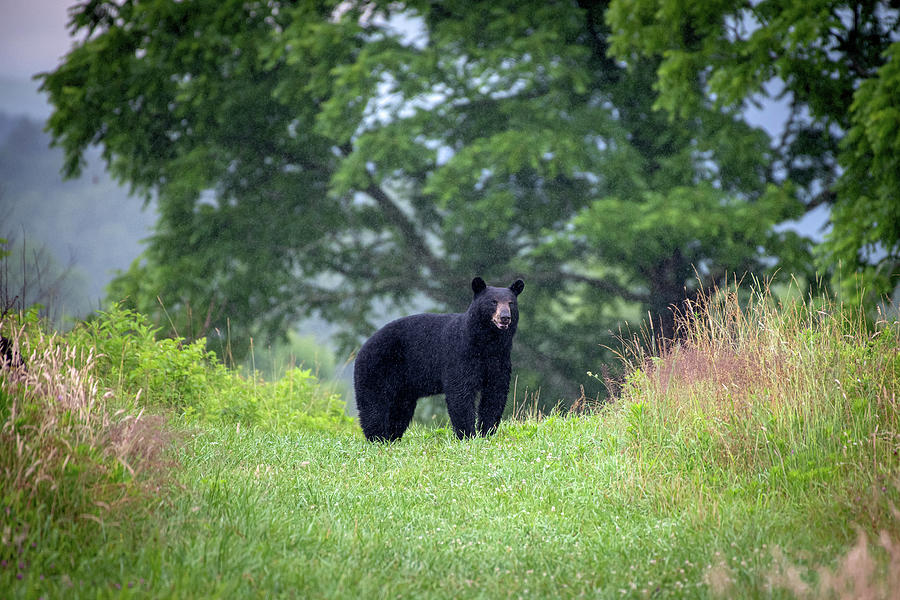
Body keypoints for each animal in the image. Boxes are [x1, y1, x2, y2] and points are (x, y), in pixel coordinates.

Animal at [354, 276, 524, 440]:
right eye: (493, 302)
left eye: (511, 303)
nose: (505, 317)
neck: (486, 343)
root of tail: (362, 347)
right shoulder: (460, 355)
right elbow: (460, 392)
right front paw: (468, 435)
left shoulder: (499, 359)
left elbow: (495, 394)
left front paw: (486, 433)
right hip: (377, 369)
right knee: (374, 405)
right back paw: (377, 438)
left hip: (403, 387)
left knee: (400, 411)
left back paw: (391, 438)